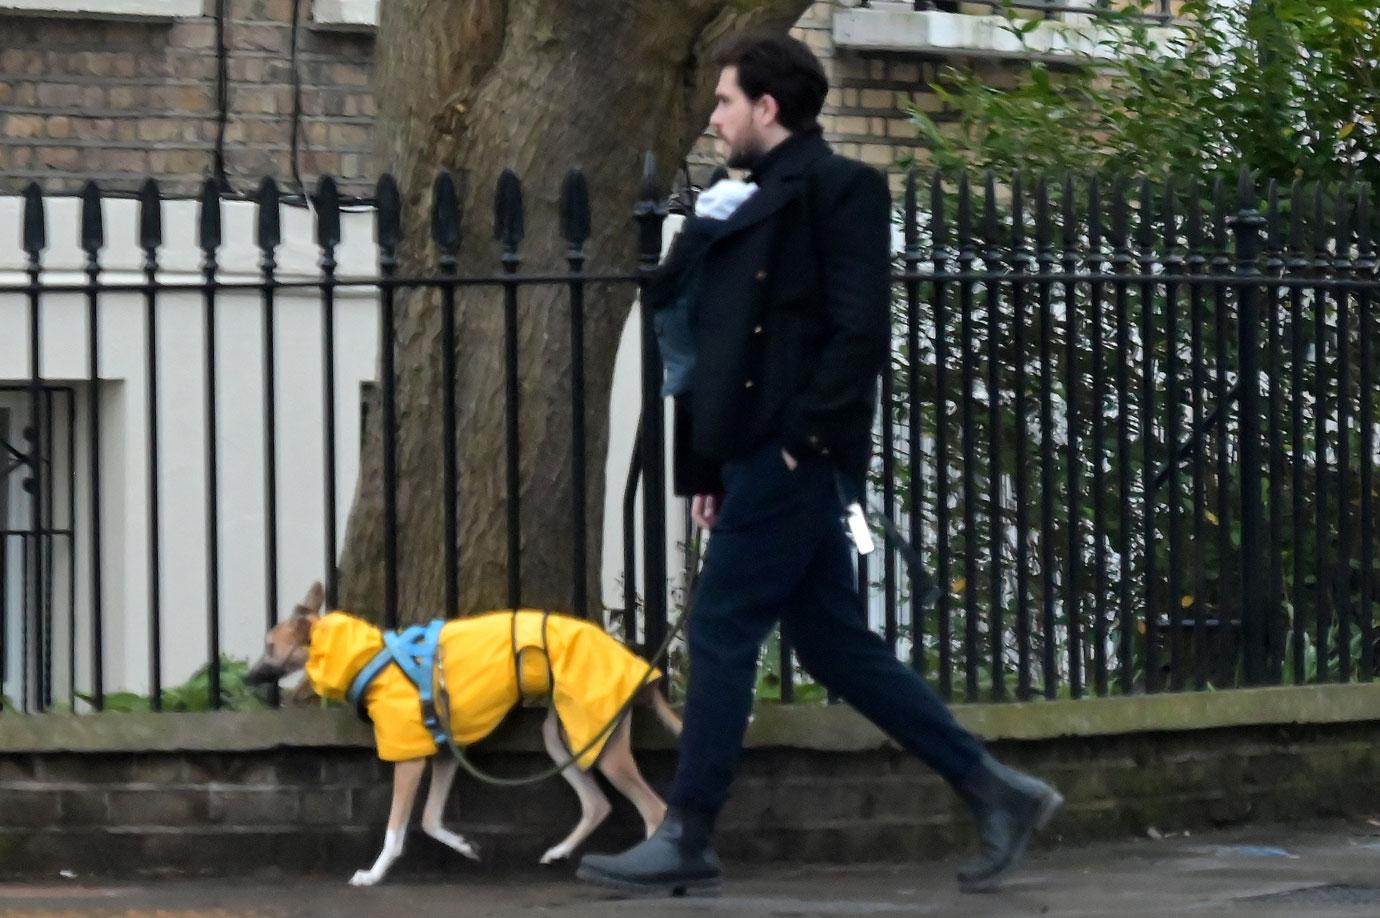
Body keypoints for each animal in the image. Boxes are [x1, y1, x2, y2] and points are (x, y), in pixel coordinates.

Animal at [249, 582, 684, 883]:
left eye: (270, 645)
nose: (250, 679)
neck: (374, 659)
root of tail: (643, 673)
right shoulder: (445, 754)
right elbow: (429, 820)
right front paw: (463, 845)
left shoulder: (410, 758)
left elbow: (395, 830)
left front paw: (373, 875)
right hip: (566, 737)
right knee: (597, 804)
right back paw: (559, 852)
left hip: (604, 747)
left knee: (654, 810)